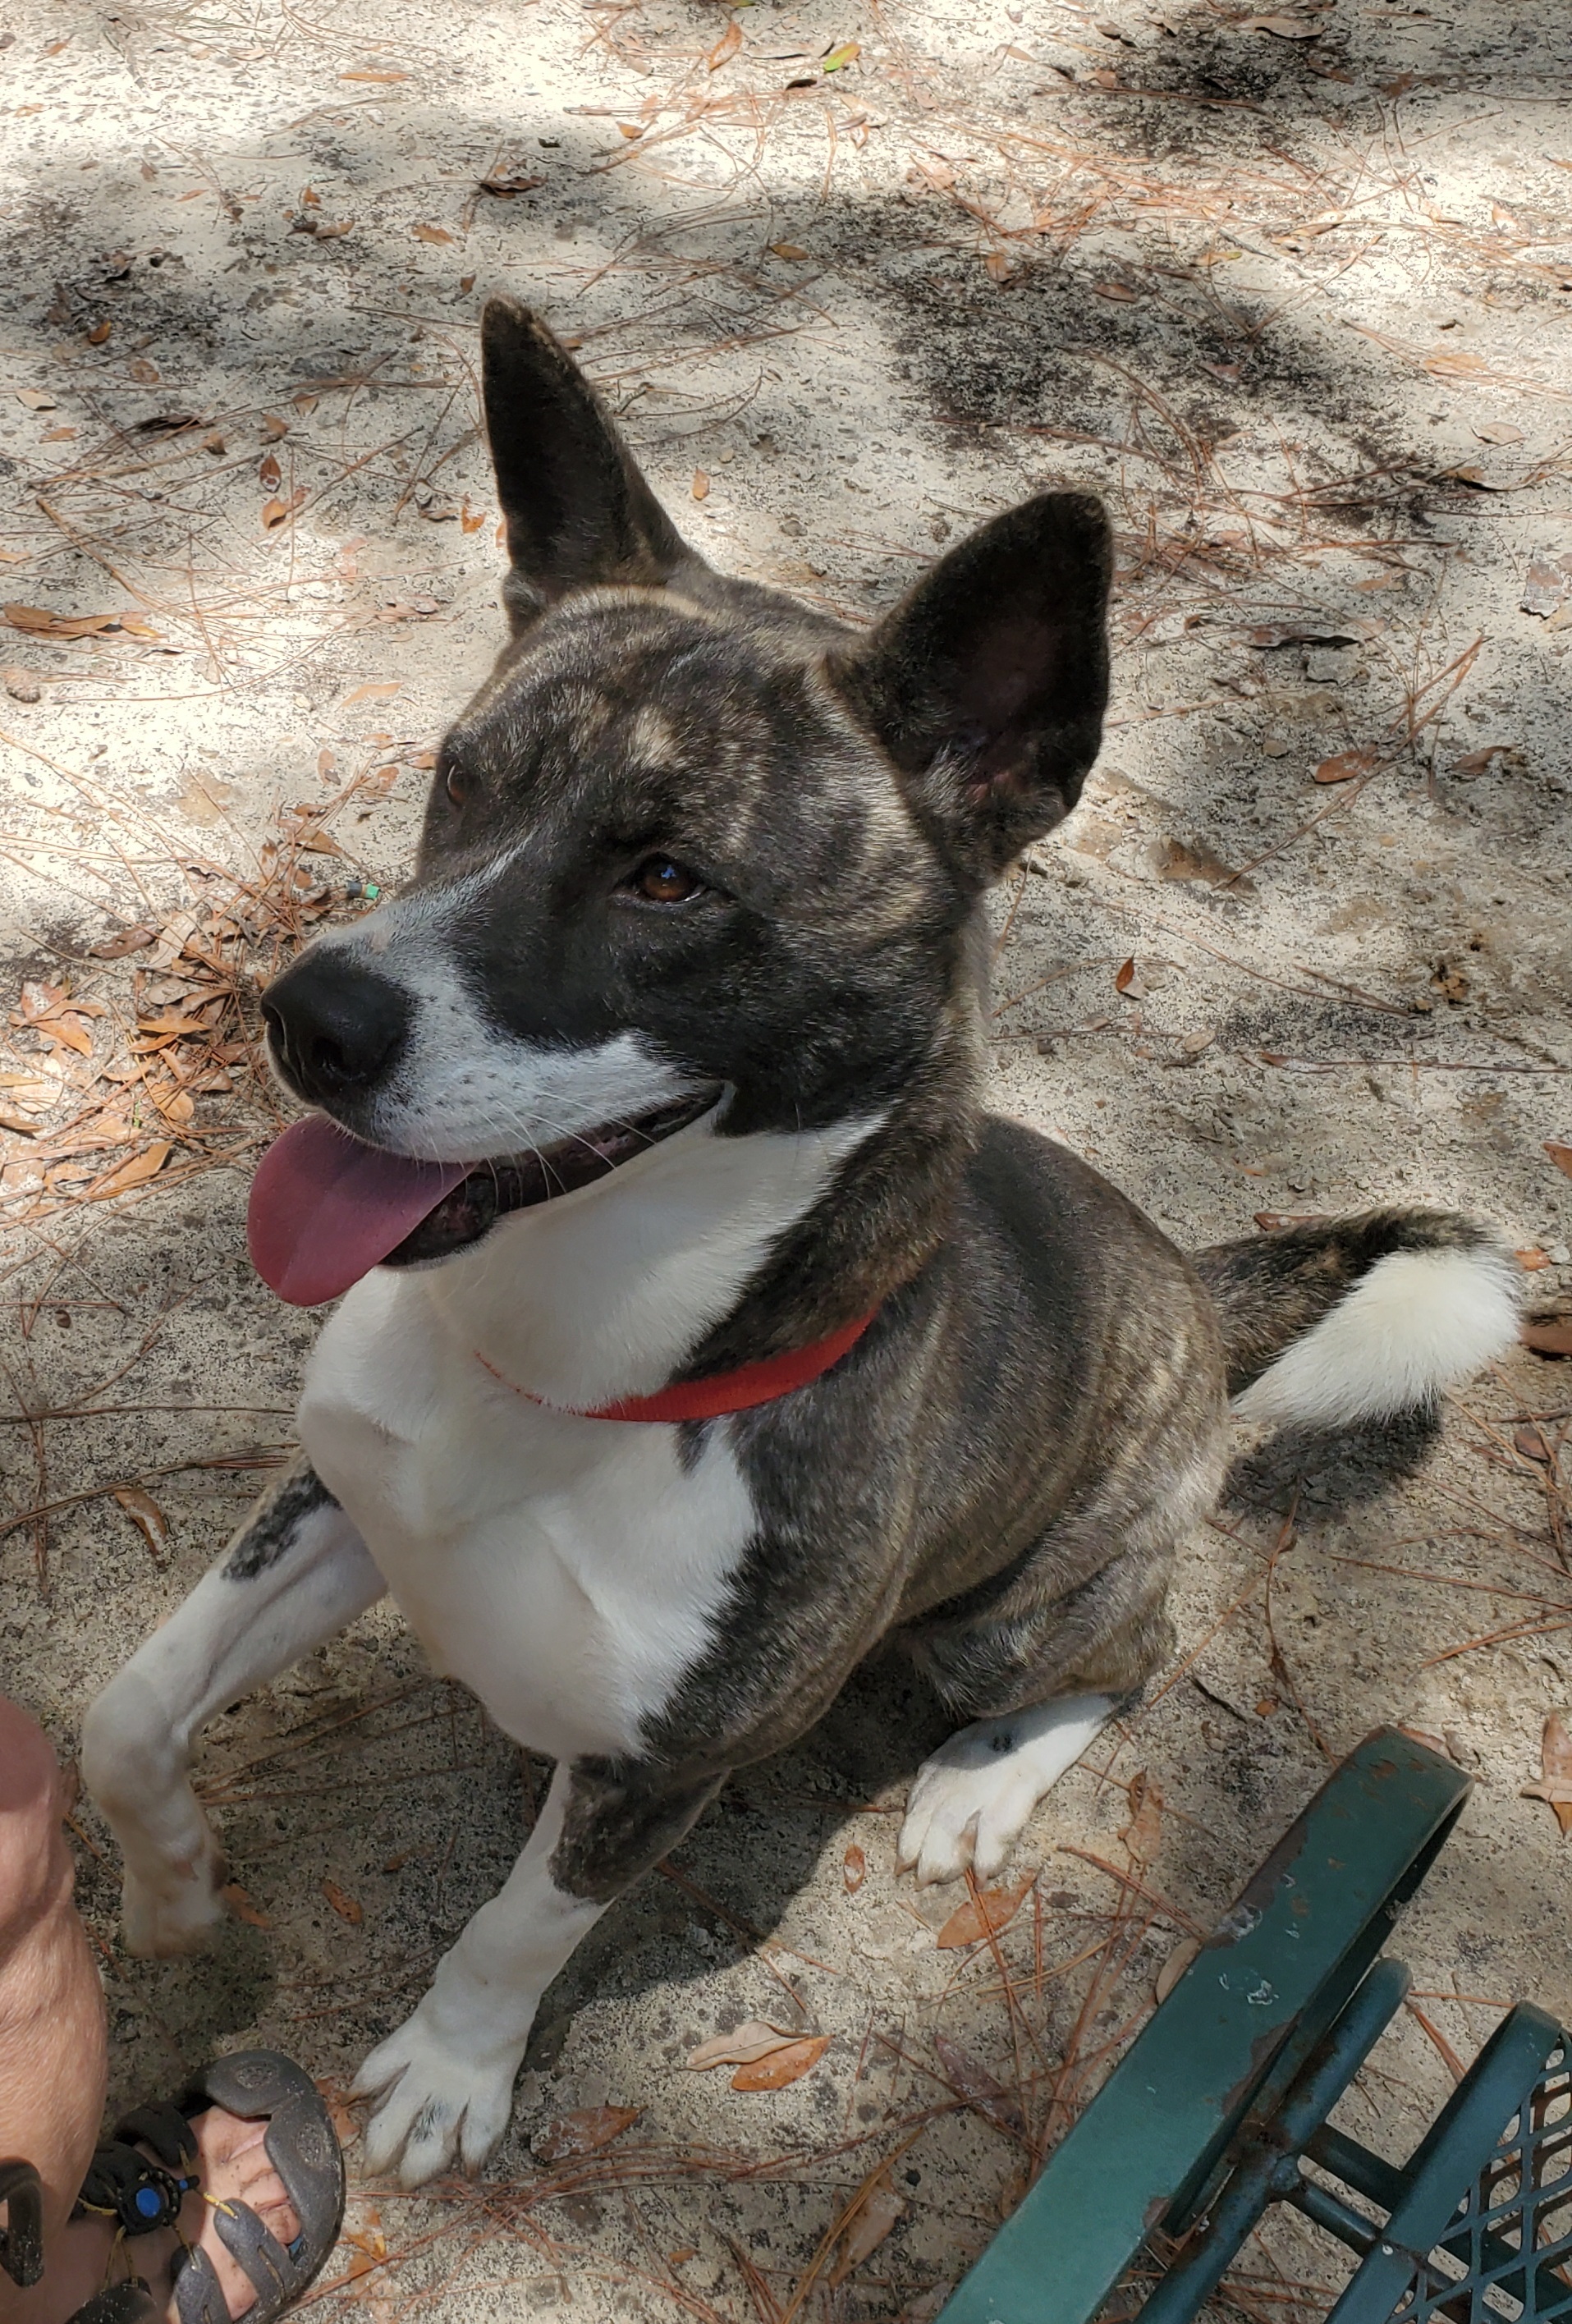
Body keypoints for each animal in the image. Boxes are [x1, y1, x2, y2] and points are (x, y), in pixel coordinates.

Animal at [76, 300, 1525, 2184]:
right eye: (461, 782)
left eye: (669, 879)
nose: (308, 1018)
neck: (564, 1369)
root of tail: (1198, 1297)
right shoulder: (335, 1503)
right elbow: (123, 1716)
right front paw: (174, 1894)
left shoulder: (658, 1767)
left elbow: (516, 1926)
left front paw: (453, 2068)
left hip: (1005, 1622)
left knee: (1127, 1656)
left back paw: (981, 1779)